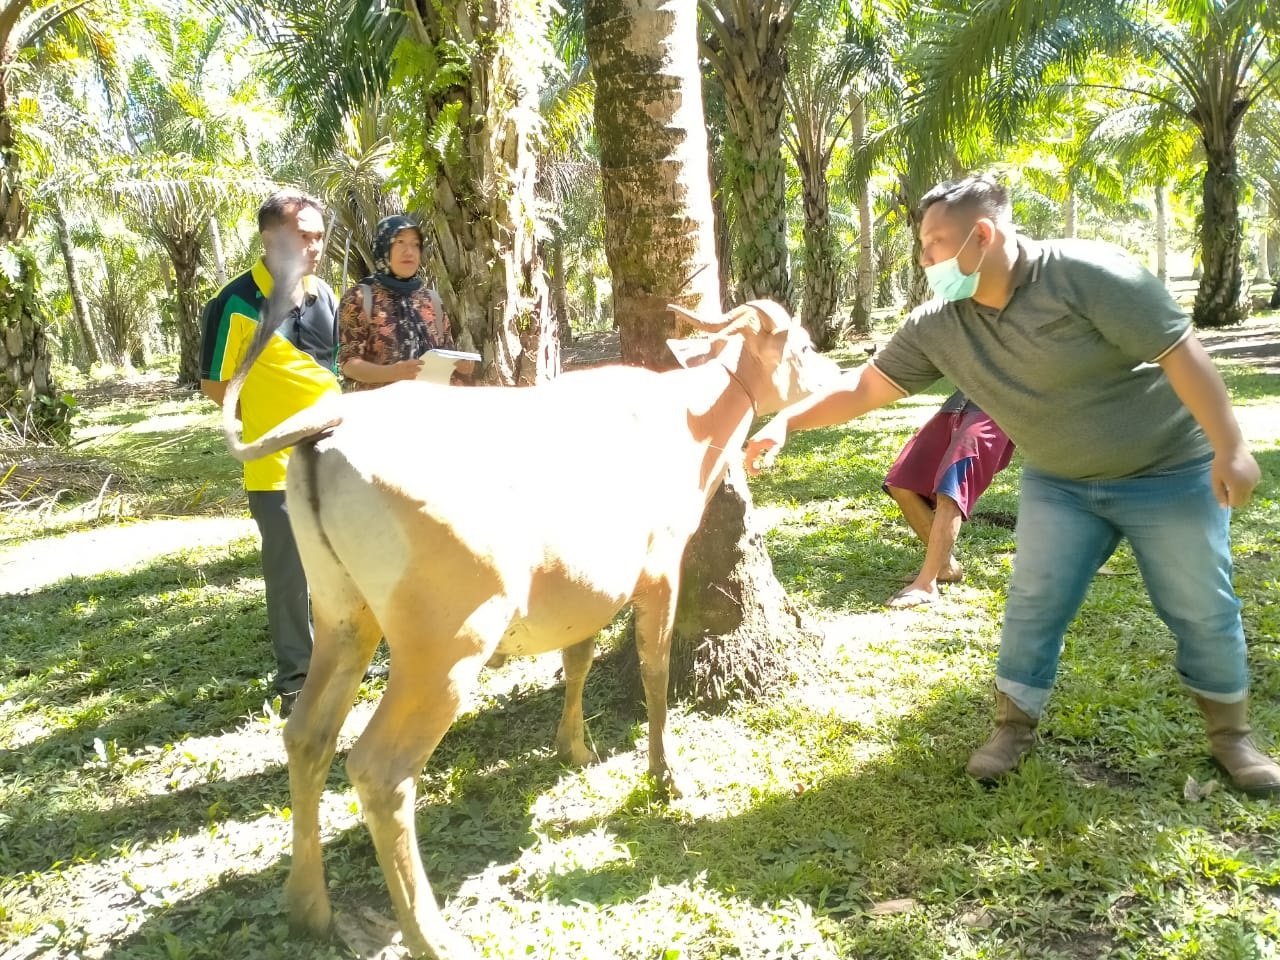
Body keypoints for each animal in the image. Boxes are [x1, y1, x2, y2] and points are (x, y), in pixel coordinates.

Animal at [220, 288, 839, 960]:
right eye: (803, 344)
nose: (834, 373)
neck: (687, 420)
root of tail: (331, 426)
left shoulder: (586, 588)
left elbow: (578, 659)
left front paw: (576, 748)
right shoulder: (660, 568)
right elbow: (654, 670)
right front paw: (666, 776)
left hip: (342, 614)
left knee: (307, 735)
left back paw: (307, 906)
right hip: (447, 640)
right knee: (379, 769)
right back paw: (431, 935)